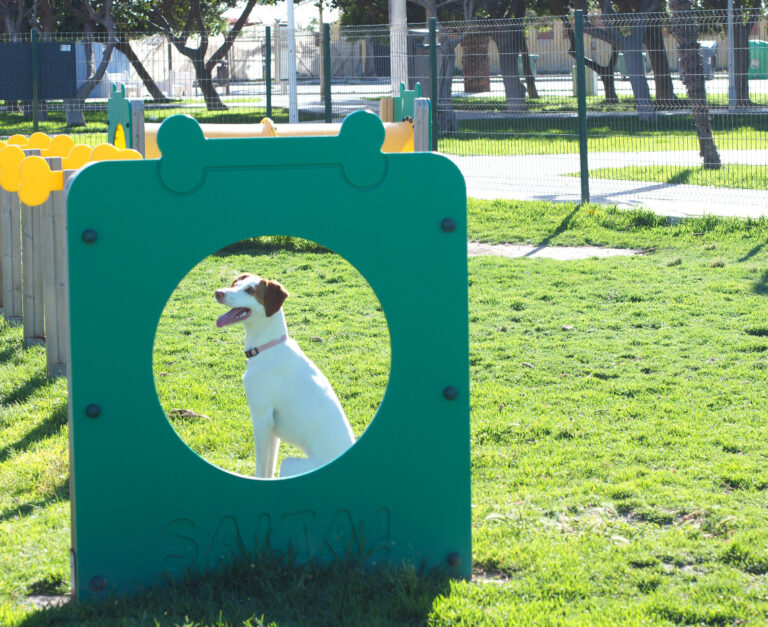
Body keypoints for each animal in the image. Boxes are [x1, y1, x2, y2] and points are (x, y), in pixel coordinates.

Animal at [214, 272, 356, 478]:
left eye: (250, 290)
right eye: (235, 284)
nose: (218, 292)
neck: (268, 347)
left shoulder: (262, 420)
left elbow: (261, 468)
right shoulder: (272, 429)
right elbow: (268, 468)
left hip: (289, 463)